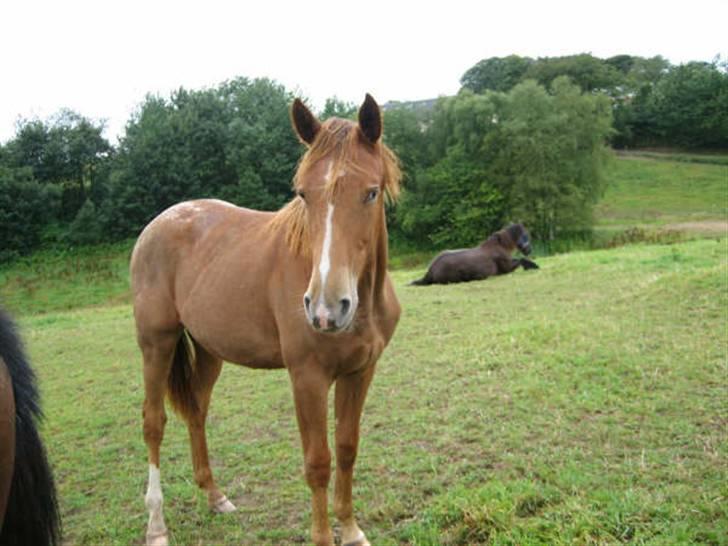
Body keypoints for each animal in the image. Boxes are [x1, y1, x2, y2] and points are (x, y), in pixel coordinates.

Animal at [132, 94, 404, 544]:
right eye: (304, 194)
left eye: (370, 193)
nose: (325, 309)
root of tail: (158, 225)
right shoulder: (307, 377)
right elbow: (318, 462)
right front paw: (324, 536)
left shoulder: (361, 371)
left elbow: (347, 449)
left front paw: (351, 529)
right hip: (157, 343)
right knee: (154, 422)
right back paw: (156, 524)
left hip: (209, 349)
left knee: (197, 411)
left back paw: (215, 496)